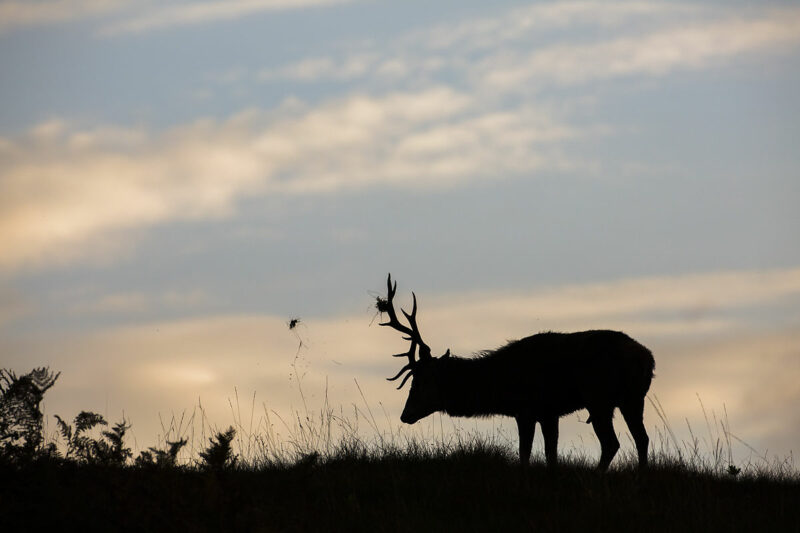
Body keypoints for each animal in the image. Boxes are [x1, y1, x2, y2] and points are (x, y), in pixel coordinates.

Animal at [382, 274, 656, 470]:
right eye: (412, 381)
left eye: (422, 381)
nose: (405, 414)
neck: (500, 387)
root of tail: (648, 359)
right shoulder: (549, 413)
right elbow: (551, 454)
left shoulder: (526, 409)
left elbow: (525, 454)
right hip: (632, 399)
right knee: (641, 438)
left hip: (599, 399)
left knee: (612, 443)